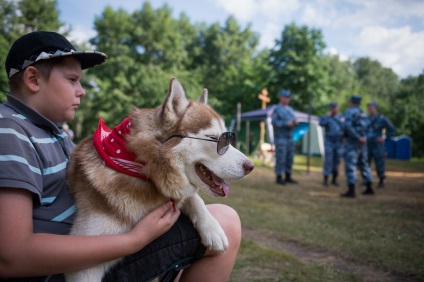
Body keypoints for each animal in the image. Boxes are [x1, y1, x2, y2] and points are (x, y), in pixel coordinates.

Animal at [64, 78, 253, 280]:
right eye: (213, 138)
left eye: (228, 137)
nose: (251, 166)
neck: (145, 167)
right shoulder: (84, 268)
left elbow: (192, 197)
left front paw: (212, 228)